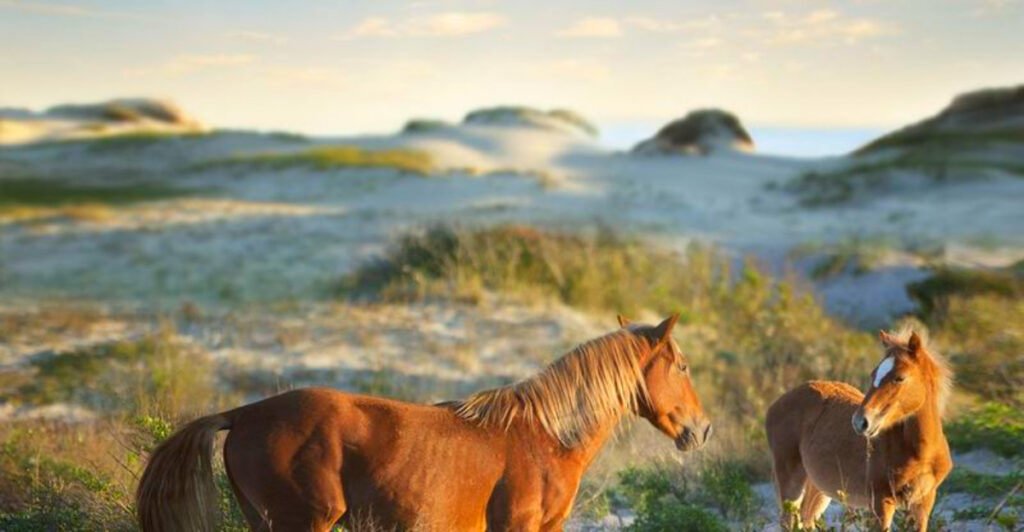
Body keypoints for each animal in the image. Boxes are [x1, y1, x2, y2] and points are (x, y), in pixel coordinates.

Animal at [765, 328, 953, 531]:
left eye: (900, 378)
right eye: (873, 374)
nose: (860, 422)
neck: (920, 452)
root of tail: (774, 405)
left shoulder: (923, 502)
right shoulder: (880, 501)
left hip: (817, 487)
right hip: (790, 480)